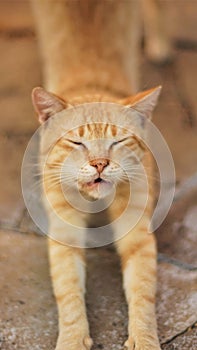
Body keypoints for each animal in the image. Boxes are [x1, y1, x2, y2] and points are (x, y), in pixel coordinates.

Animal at [31, 0, 171, 350]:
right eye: (76, 142)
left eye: (117, 142)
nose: (99, 164)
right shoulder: (64, 231)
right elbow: (68, 292)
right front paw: (72, 339)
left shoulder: (138, 229)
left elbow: (143, 290)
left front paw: (144, 338)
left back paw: (160, 45)